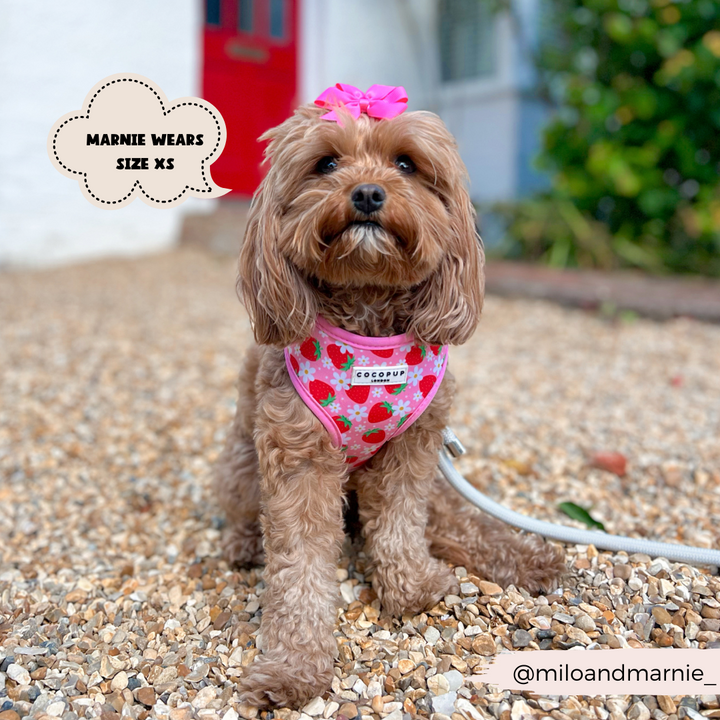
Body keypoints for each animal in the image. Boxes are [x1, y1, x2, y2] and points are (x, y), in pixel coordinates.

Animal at [217, 104, 564, 704]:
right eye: (326, 163)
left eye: (406, 163)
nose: (368, 193)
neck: (368, 318)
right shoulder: (298, 457)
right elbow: (299, 568)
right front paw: (292, 669)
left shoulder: (413, 447)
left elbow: (401, 522)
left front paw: (411, 590)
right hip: (241, 460)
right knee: (243, 509)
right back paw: (245, 543)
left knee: (457, 522)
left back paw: (532, 558)